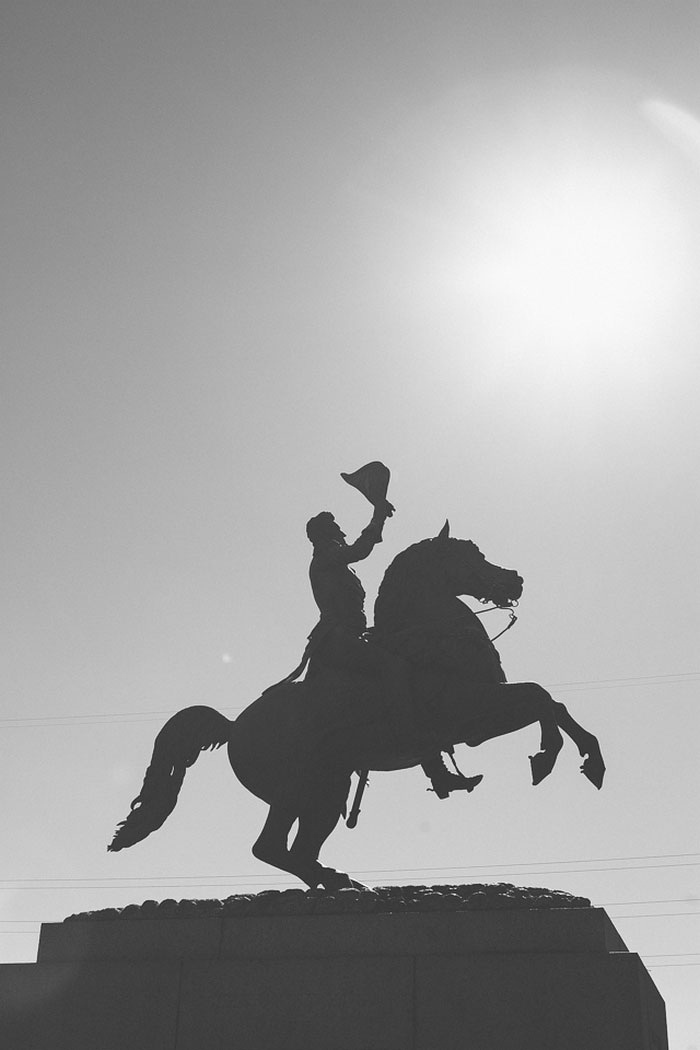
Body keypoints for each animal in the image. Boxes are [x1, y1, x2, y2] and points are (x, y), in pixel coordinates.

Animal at [108, 525, 604, 886]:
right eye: (470, 555)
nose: (515, 579)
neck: (434, 635)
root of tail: (234, 725)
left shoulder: (483, 710)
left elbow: (554, 701)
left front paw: (592, 763)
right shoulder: (472, 714)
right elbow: (539, 696)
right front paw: (545, 758)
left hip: (329, 789)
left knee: (297, 849)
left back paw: (338, 881)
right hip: (298, 788)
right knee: (268, 847)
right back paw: (334, 882)